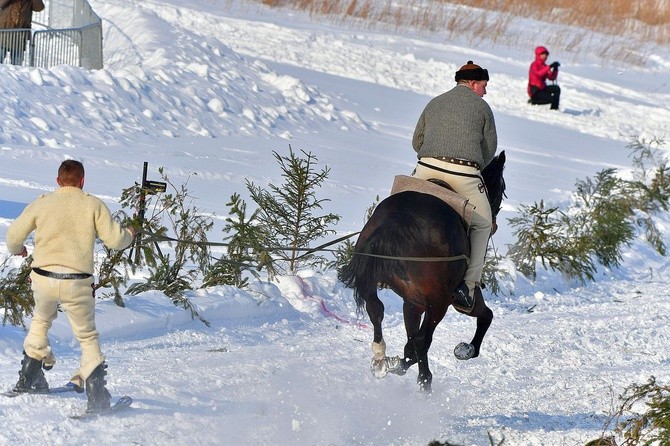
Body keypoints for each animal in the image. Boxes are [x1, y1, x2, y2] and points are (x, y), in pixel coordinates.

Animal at [342, 152, 504, 392]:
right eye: (502, 188)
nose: (494, 225)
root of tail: (398, 218)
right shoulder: (462, 300)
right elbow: (487, 316)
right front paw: (466, 350)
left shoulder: (413, 302)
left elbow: (409, 340)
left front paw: (395, 364)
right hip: (440, 301)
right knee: (423, 339)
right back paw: (424, 380)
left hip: (376, 283)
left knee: (376, 310)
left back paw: (380, 359)